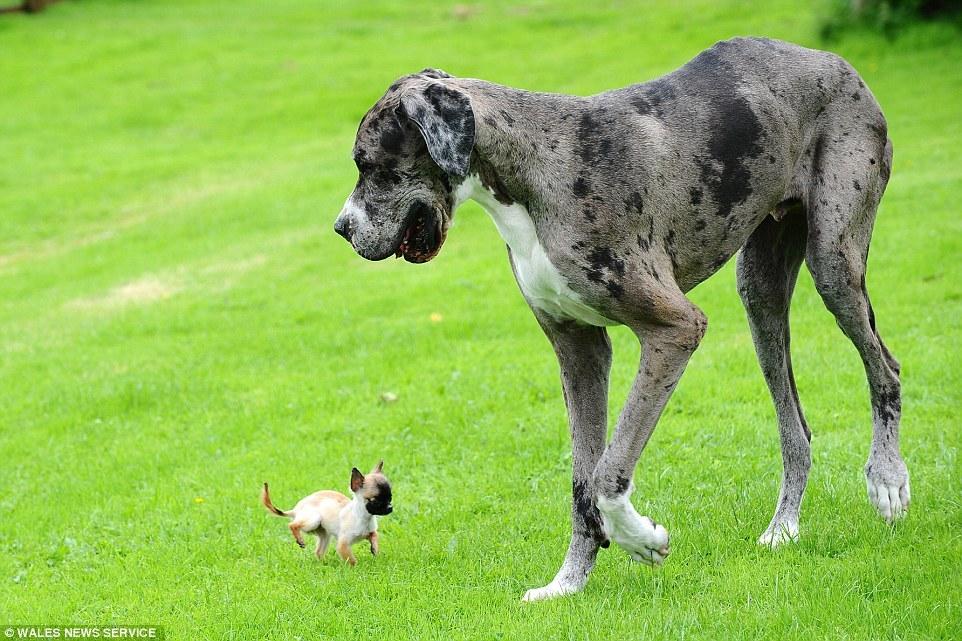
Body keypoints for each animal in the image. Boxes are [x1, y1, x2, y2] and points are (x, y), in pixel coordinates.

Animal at [260, 460, 392, 564]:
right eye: (376, 501)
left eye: (390, 497)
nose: (390, 507)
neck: (364, 518)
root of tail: (296, 510)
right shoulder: (343, 545)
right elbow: (351, 560)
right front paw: (355, 568)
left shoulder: (370, 532)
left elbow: (374, 536)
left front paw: (374, 549)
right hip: (313, 520)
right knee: (293, 525)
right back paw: (300, 540)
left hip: (324, 534)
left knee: (318, 552)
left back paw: (323, 564)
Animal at [332, 38, 908, 600]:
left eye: (370, 164)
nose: (340, 228)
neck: (529, 174)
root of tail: (834, 61)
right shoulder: (579, 350)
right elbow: (581, 481)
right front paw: (568, 583)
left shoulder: (676, 328)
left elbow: (608, 471)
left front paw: (641, 539)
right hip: (760, 296)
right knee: (797, 431)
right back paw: (784, 527)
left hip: (833, 263)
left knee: (885, 368)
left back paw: (887, 478)